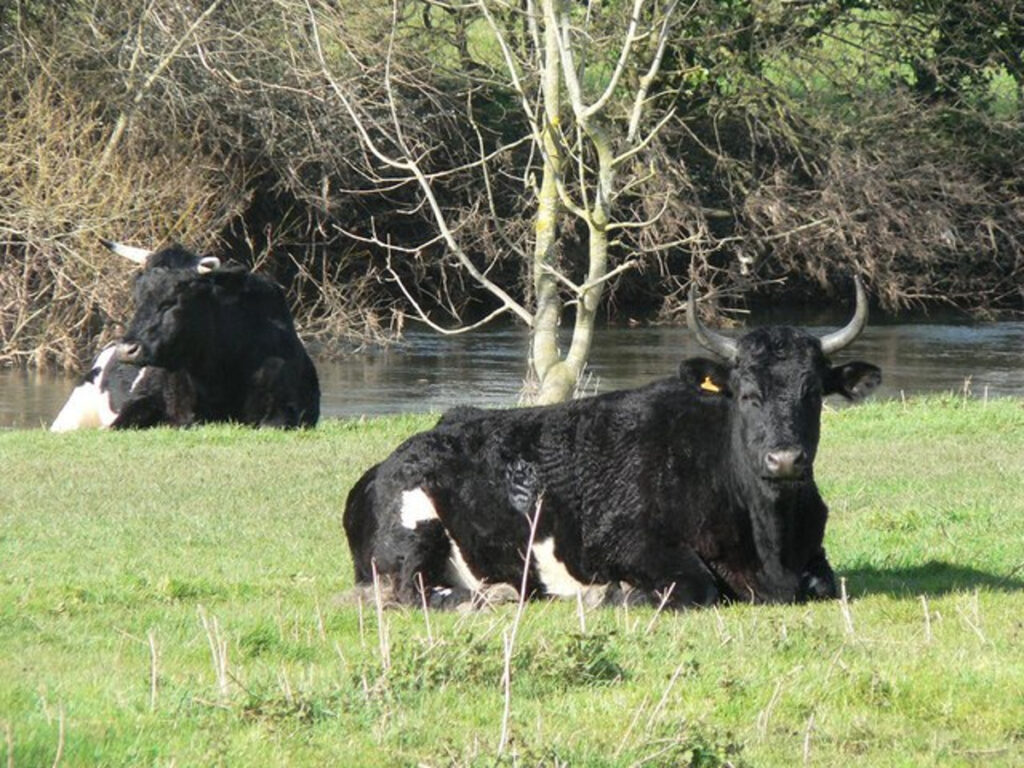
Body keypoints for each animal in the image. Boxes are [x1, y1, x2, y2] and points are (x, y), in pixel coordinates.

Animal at [344, 280, 880, 610]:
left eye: (813, 392)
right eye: (747, 394)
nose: (785, 458)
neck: (769, 541)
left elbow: (826, 583)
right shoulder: (624, 540)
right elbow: (698, 585)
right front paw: (618, 594)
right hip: (414, 532)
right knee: (417, 592)